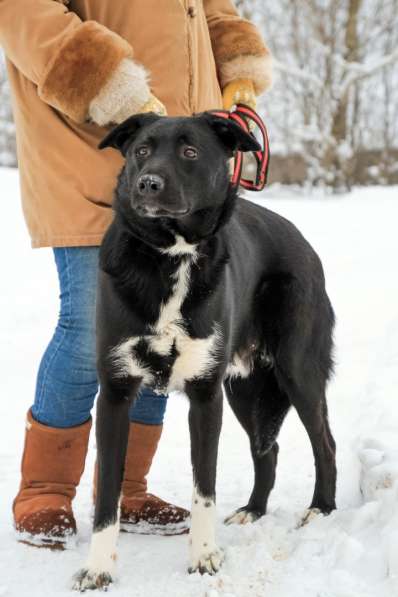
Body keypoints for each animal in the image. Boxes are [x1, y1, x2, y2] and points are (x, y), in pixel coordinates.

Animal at [72, 113, 336, 592]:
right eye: (141, 150)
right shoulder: (116, 394)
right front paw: (98, 568)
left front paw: (205, 556)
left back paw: (320, 510)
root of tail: (302, 241)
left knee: (325, 443)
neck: (170, 254)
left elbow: (204, 487)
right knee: (267, 449)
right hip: (244, 390)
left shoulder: (205, 396)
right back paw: (254, 510)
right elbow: (106, 494)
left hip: (297, 372)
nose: (148, 183)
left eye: (190, 151)